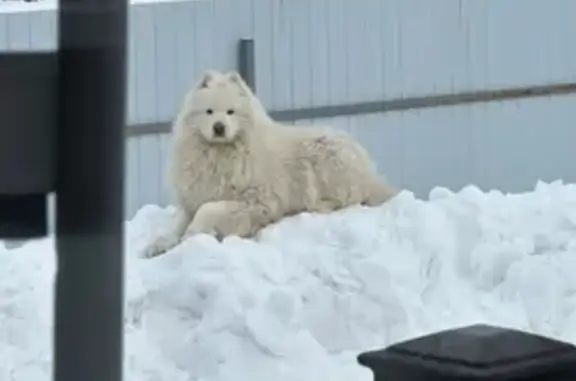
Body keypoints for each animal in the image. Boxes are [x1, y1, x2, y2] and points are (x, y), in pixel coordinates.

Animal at [144, 70, 396, 256]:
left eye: (230, 112)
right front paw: (158, 244)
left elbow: (208, 210)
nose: (219, 127)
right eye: (209, 112)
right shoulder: (193, 198)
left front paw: (192, 235)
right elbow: (178, 224)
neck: (219, 155)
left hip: (325, 161)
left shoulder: (256, 200)